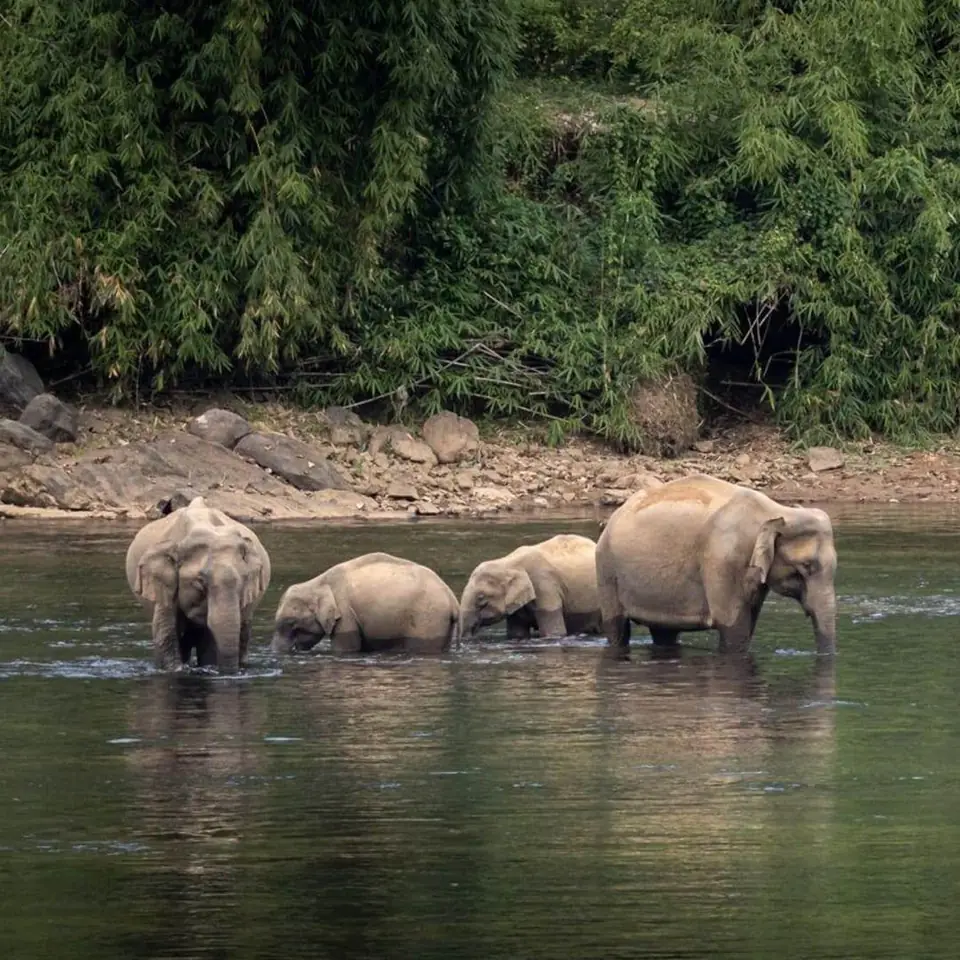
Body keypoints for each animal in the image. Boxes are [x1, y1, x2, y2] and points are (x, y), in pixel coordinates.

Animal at [271, 552, 459, 655]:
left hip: (427, 619)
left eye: (291, 623)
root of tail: (452, 599)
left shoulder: (345, 613)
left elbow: (345, 647)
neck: (318, 582)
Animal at [595, 474, 838, 655]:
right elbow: (733, 627)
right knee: (617, 628)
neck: (776, 512)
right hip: (607, 569)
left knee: (664, 632)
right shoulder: (722, 560)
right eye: (806, 566)